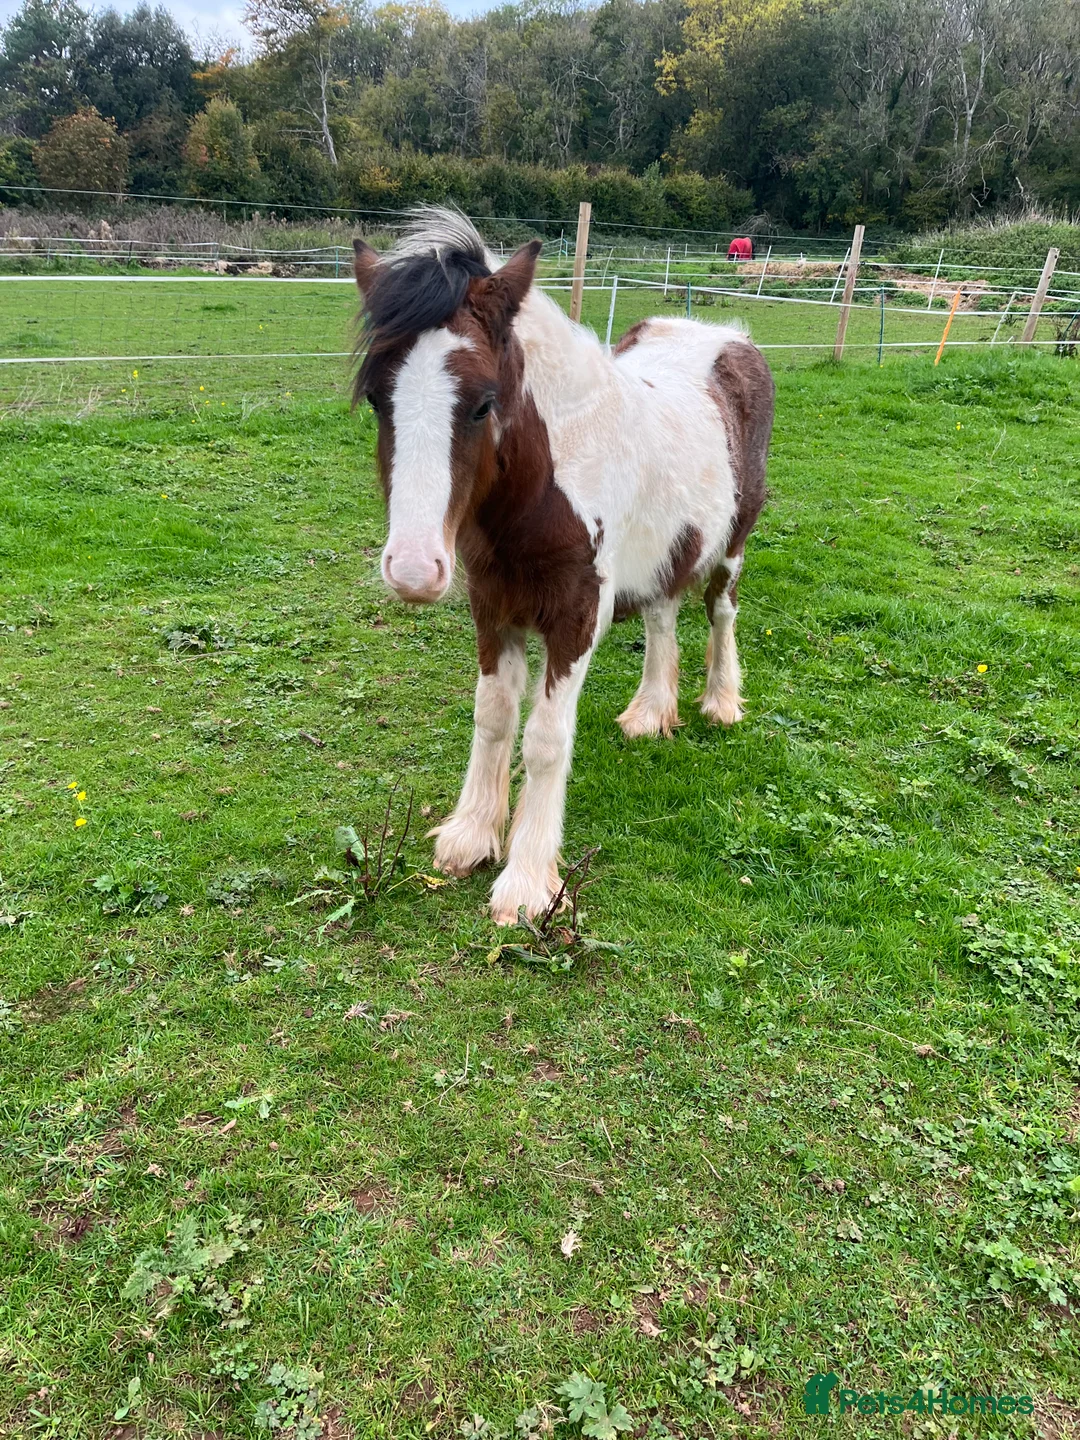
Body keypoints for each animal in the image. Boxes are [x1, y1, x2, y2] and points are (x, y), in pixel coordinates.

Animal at [352, 209, 774, 925]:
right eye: (380, 400)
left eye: (483, 403)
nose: (412, 570)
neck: (547, 481)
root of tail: (730, 337)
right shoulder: (493, 607)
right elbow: (493, 716)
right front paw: (470, 837)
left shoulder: (575, 617)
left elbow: (546, 740)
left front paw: (526, 884)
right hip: (669, 545)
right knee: (663, 614)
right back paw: (650, 713)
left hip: (732, 545)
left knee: (719, 611)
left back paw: (720, 703)